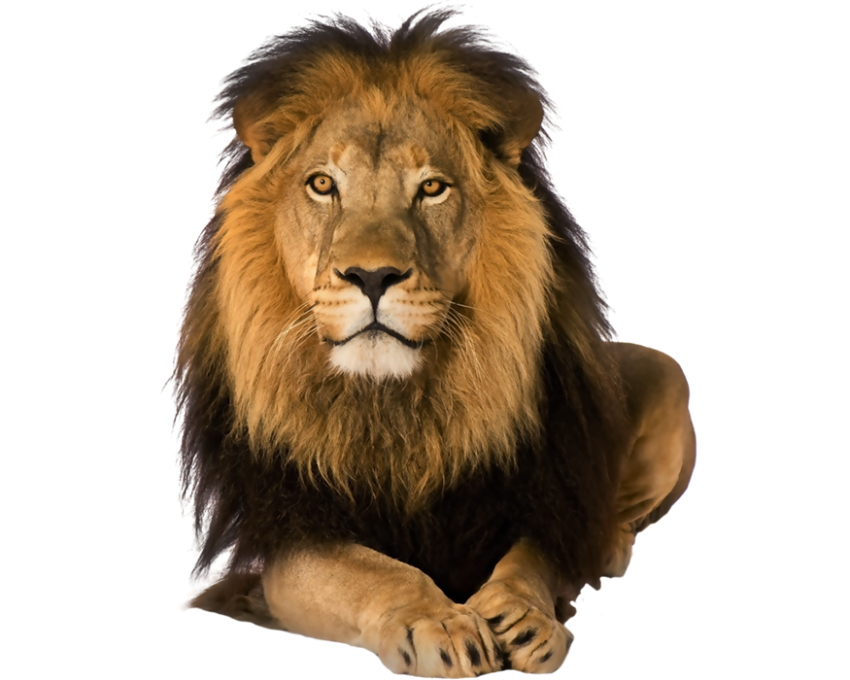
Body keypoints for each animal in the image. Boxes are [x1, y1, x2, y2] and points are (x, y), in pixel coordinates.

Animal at [163, 3, 697, 677]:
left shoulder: (542, 493)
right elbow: (371, 571)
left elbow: (532, 557)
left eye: (432, 187)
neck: (398, 407)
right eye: (322, 184)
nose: (372, 276)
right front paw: (439, 622)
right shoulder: (282, 539)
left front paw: (524, 614)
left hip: (663, 371)